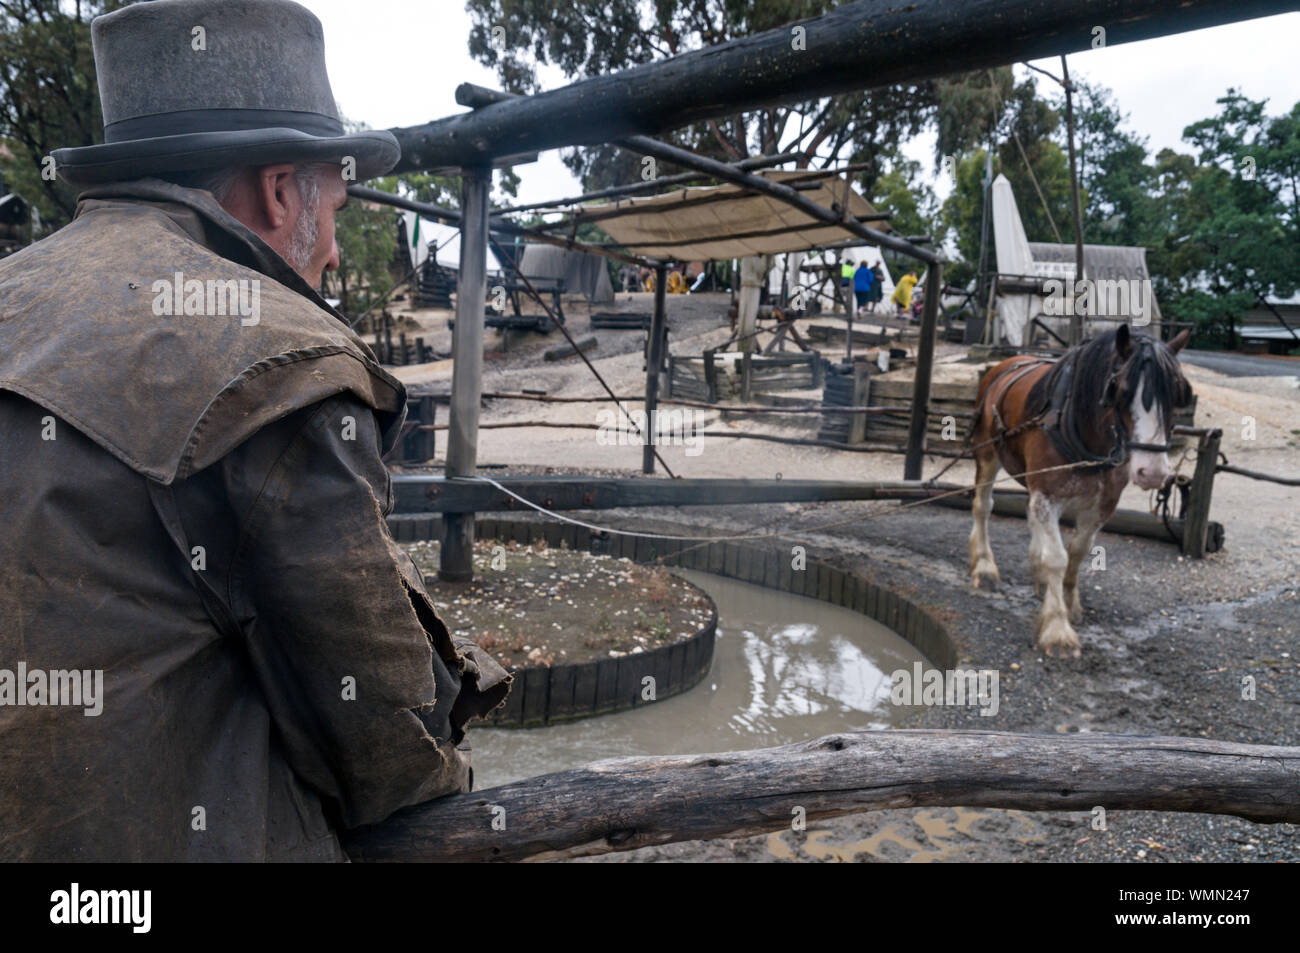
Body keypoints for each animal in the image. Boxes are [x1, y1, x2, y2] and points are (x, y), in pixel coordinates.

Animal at [967, 323, 1190, 657]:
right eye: (1120, 391)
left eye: (1176, 394)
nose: (1152, 472)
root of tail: (1006, 364)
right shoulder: (1048, 496)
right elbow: (1057, 557)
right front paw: (1057, 629)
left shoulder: (1102, 505)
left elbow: (1078, 552)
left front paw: (1068, 603)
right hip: (987, 453)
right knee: (983, 506)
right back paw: (984, 567)